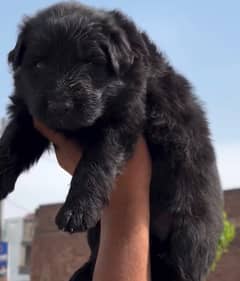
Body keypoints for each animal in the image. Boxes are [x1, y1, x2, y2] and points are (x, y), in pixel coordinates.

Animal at [1, 2, 223, 280]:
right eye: (39, 64)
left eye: (89, 62)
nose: (60, 106)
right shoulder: (30, 114)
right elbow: (11, 145)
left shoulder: (124, 116)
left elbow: (97, 161)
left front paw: (77, 209)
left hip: (189, 230)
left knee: (180, 264)